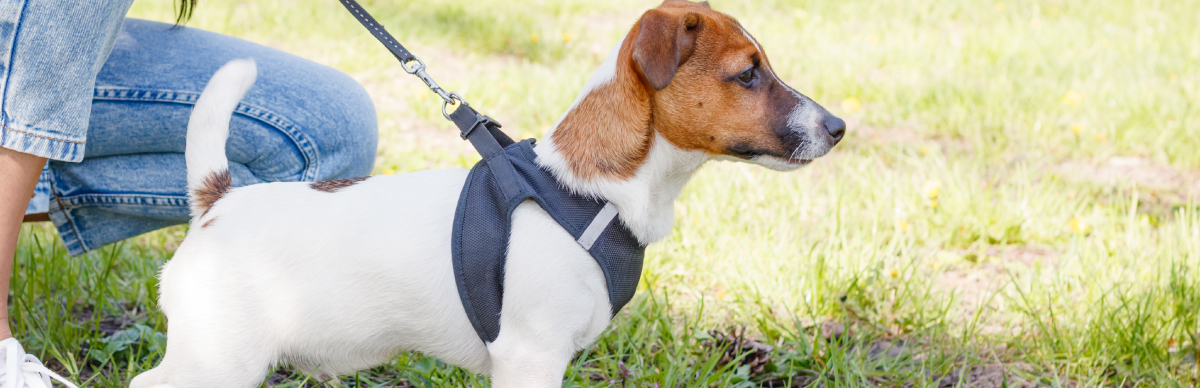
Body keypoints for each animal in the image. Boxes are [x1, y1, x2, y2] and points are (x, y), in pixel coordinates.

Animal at [131, 1, 844, 386]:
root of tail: (218, 202)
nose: (838, 128)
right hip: (217, 360)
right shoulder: (530, 358)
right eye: (748, 74)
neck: (588, 193)